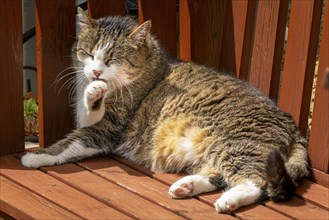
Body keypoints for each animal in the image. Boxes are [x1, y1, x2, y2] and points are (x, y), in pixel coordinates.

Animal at [21, 8, 308, 213]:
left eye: (112, 59)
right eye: (89, 54)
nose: (96, 72)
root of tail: (294, 127)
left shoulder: (109, 128)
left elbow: (71, 142)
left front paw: (36, 156)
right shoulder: (92, 118)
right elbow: (86, 112)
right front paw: (92, 91)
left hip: (237, 143)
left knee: (255, 182)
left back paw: (228, 201)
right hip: (218, 148)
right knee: (218, 173)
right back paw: (185, 186)